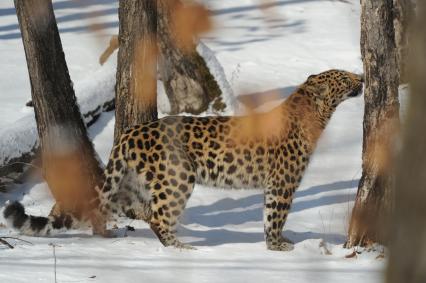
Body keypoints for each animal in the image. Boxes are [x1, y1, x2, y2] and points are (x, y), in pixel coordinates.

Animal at [3, 70, 362, 252]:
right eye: (343, 78)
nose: (361, 77)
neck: (314, 114)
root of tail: (130, 132)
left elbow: (268, 215)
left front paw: (275, 243)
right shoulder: (283, 183)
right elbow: (275, 215)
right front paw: (277, 246)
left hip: (133, 181)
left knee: (117, 208)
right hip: (176, 178)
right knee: (158, 216)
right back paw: (181, 247)